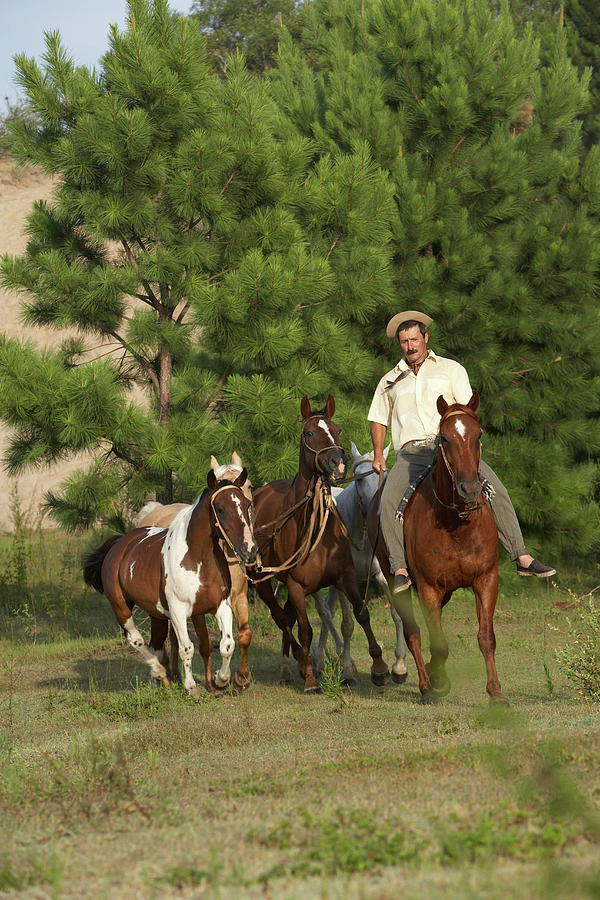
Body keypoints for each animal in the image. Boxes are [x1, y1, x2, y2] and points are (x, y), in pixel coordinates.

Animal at [82, 468, 258, 700]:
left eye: (247, 504)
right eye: (220, 508)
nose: (250, 549)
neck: (197, 559)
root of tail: (119, 544)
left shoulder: (222, 606)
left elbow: (227, 645)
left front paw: (221, 681)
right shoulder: (178, 611)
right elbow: (187, 648)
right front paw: (191, 687)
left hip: (155, 613)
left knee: (155, 644)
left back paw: (160, 681)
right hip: (121, 607)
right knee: (135, 639)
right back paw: (159, 672)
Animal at [248, 394, 390, 688]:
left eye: (337, 430)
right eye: (309, 433)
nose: (337, 462)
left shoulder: (345, 576)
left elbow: (360, 614)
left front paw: (380, 667)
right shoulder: (297, 586)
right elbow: (306, 629)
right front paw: (313, 675)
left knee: (288, 617)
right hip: (264, 582)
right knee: (283, 619)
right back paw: (297, 665)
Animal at [314, 442, 408, 684]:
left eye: (384, 478)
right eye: (359, 481)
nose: (378, 512)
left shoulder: (383, 576)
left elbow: (397, 614)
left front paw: (399, 666)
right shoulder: (345, 581)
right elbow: (348, 624)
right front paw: (347, 670)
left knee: (328, 610)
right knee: (323, 611)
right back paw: (322, 661)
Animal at [368, 392, 504, 704]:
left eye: (478, 435)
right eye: (444, 438)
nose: (469, 488)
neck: (456, 524)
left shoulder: (486, 579)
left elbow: (486, 637)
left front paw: (495, 691)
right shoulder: (429, 588)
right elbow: (438, 643)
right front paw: (438, 684)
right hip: (396, 582)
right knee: (413, 632)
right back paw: (424, 684)